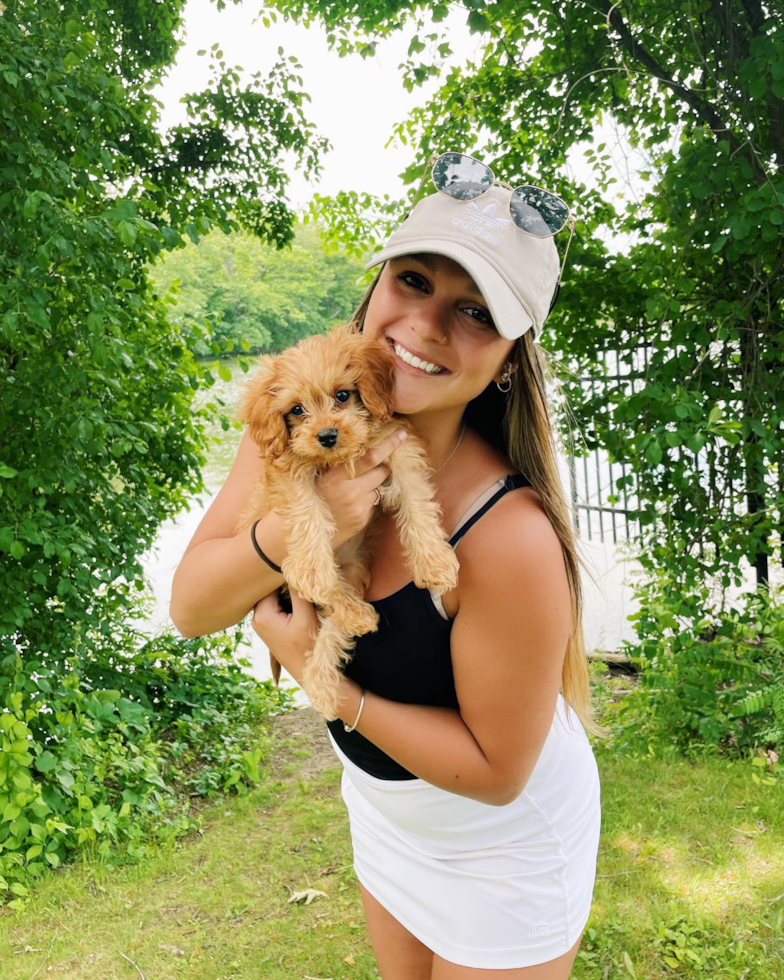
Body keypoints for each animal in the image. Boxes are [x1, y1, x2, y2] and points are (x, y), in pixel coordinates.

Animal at [236, 322, 462, 720]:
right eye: (297, 410)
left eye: (343, 395)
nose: (327, 436)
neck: (339, 460)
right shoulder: (291, 470)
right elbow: (307, 511)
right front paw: (312, 569)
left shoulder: (400, 450)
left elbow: (417, 503)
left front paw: (433, 563)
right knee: (321, 590)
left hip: (355, 566)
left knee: (333, 627)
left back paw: (329, 674)